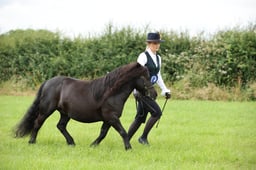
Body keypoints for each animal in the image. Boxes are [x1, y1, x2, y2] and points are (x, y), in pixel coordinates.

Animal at [16, 61, 157, 149]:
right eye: (144, 77)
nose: (154, 94)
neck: (111, 93)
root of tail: (47, 82)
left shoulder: (108, 119)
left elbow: (103, 133)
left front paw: (93, 145)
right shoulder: (112, 117)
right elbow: (123, 132)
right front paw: (129, 148)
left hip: (65, 113)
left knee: (60, 126)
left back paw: (71, 143)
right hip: (46, 110)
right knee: (37, 123)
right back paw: (32, 142)